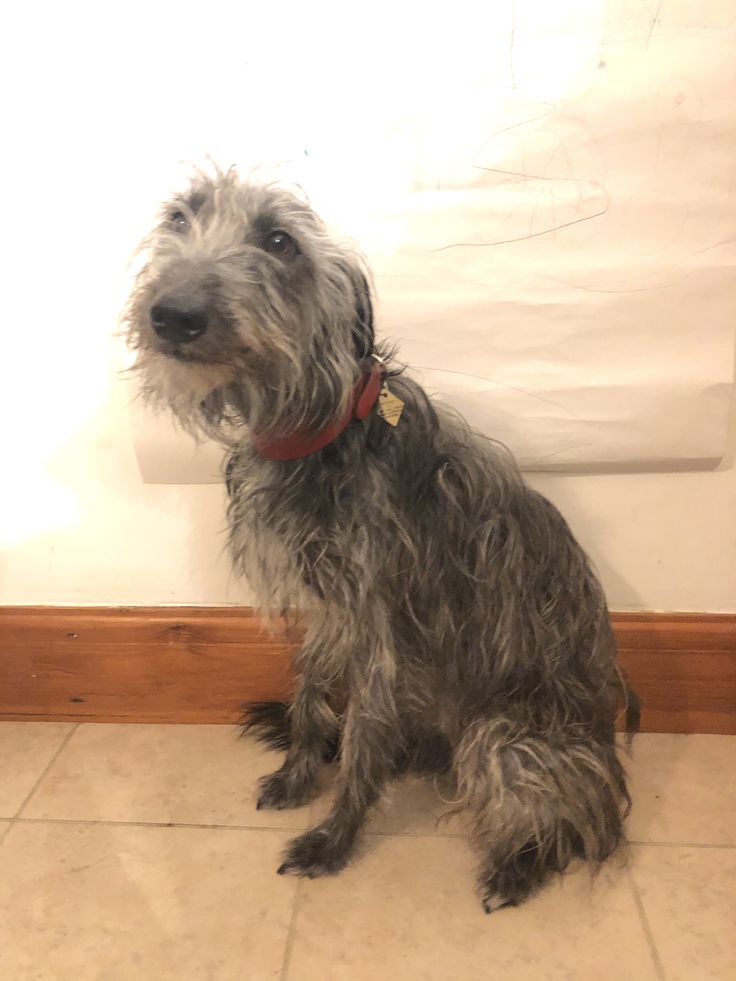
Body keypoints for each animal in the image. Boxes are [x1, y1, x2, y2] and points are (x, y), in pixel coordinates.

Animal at [126, 168, 640, 912]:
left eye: (279, 242)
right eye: (179, 217)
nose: (173, 314)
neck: (325, 431)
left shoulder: (378, 628)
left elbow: (363, 737)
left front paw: (335, 835)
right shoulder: (328, 608)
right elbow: (312, 687)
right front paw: (300, 768)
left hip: (507, 734)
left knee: (571, 814)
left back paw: (517, 864)